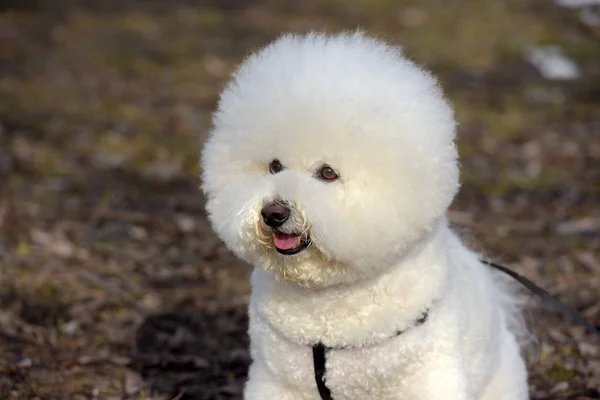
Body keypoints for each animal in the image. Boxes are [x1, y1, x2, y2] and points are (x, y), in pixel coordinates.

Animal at [203, 32, 528, 400]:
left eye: (328, 173)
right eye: (274, 166)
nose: (273, 212)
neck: (325, 306)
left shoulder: (427, 374)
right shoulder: (278, 381)